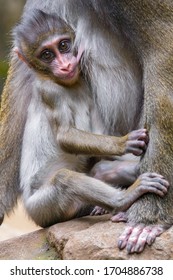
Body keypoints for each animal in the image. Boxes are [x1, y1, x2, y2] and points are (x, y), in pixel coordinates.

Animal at [0, 0, 172, 254]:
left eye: (64, 45)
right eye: (47, 54)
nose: (65, 65)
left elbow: (163, 49)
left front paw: (148, 218)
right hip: (44, 208)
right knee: (65, 180)